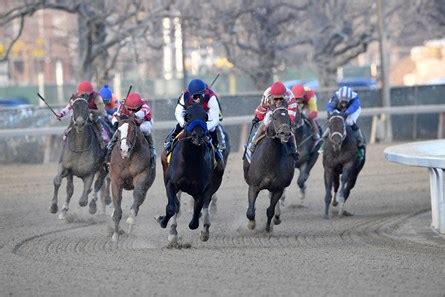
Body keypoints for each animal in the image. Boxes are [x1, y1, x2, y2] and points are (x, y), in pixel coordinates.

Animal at [157, 103, 225, 242]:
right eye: (188, 116)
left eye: (205, 117)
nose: (198, 135)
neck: (190, 161)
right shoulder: (171, 183)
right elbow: (172, 208)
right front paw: (162, 221)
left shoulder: (202, 190)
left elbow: (195, 219)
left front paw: (200, 226)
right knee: (177, 205)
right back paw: (173, 230)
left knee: (205, 205)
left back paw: (205, 230)